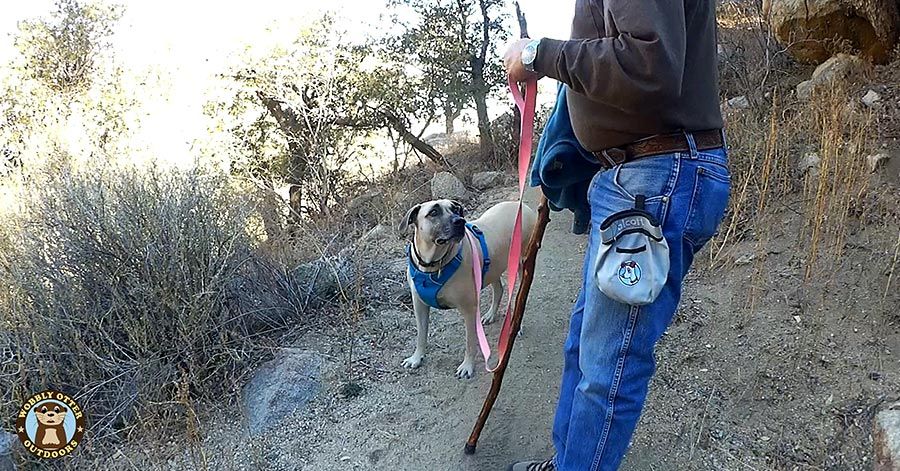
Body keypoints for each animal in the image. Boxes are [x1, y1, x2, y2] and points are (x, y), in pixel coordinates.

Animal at [400, 199, 536, 380]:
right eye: (433, 212)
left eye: (456, 209)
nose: (460, 221)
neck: (434, 265)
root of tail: (522, 207)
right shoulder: (419, 305)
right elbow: (421, 334)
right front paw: (416, 357)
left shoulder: (469, 310)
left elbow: (470, 341)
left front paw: (467, 366)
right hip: (492, 266)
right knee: (498, 289)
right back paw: (490, 314)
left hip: (521, 264)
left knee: (520, 297)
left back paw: (517, 325)